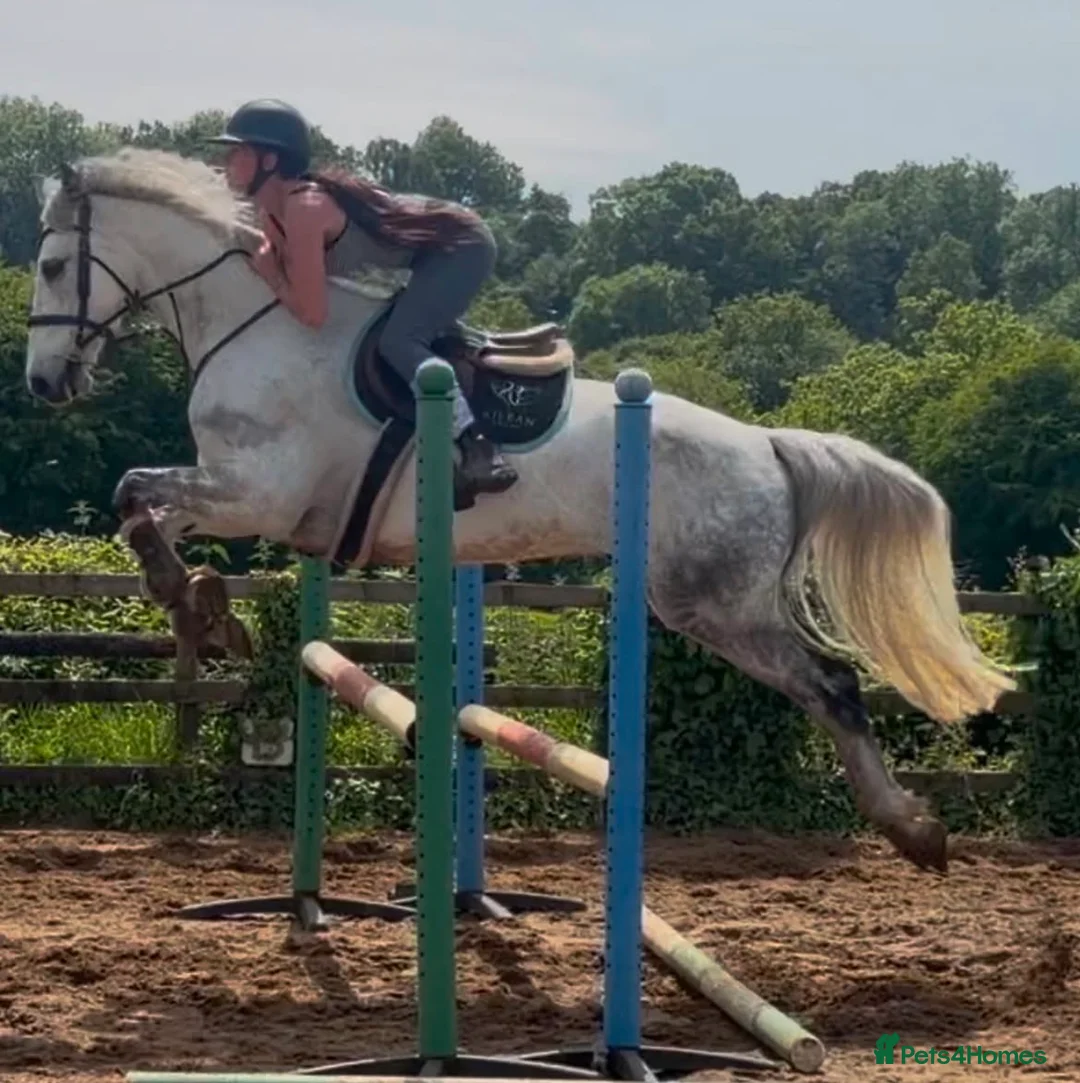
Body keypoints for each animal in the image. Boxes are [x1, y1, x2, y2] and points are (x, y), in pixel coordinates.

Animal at [23, 147, 1014, 873]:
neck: (256, 318)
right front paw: (203, 609)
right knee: (830, 686)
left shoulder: (257, 490)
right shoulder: (236, 491)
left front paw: (199, 607)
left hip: (713, 601)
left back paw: (913, 828)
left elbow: (136, 494)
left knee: (834, 685)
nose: (43, 384)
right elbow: (144, 510)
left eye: (53, 264)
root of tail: (767, 444)